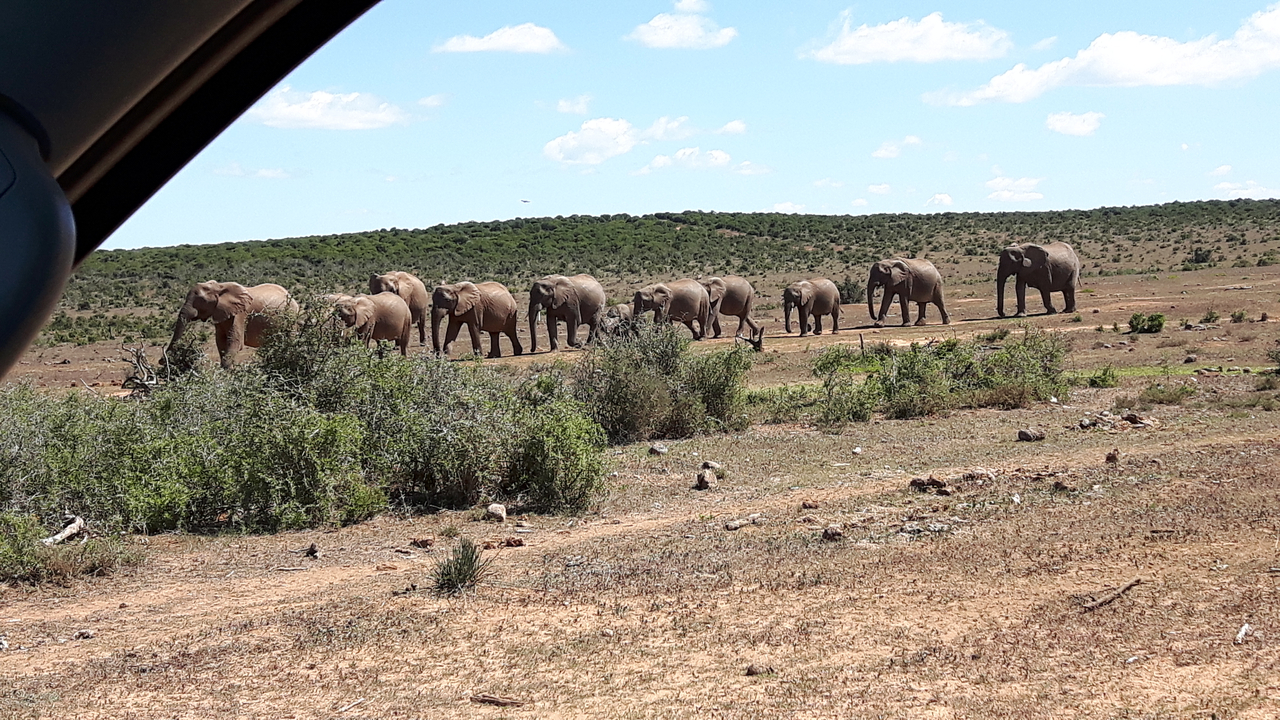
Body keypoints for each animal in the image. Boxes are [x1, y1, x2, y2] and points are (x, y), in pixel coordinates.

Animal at [169, 281, 297, 368]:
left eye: (201, 301)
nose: (166, 361)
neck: (219, 287)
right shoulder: (220, 313)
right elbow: (220, 341)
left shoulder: (240, 314)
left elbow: (235, 341)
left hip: (291, 316)